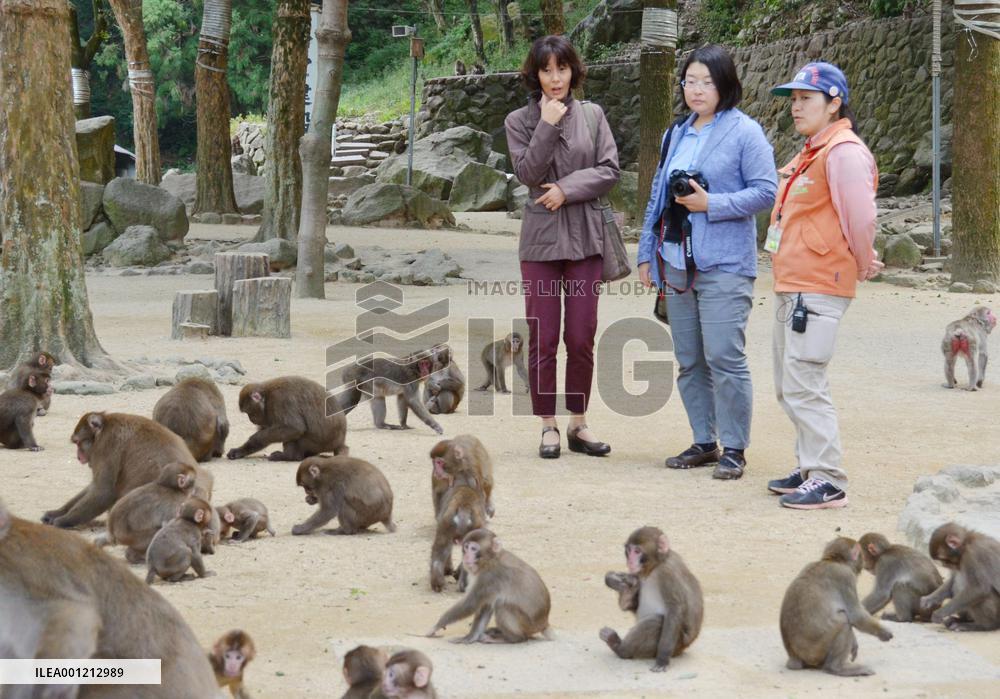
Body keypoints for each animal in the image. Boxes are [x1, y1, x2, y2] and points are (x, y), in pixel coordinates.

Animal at [42, 412, 203, 528]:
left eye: (78, 442)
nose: (78, 457)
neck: (105, 426)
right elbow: (93, 487)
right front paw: (56, 513)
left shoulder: (106, 446)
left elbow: (104, 491)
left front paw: (64, 520)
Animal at [598, 527, 703, 671]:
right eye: (629, 550)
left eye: (637, 551)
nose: (630, 561)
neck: (653, 567)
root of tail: (682, 649)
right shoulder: (638, 574)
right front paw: (623, 588)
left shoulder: (667, 573)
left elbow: (675, 609)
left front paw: (662, 659)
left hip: (676, 644)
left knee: (656, 621)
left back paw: (619, 648)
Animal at [780, 537, 894, 676]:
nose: (863, 564)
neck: (831, 560)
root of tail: (794, 656)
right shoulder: (846, 577)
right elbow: (856, 615)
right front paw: (883, 633)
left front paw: (854, 643)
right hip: (816, 650)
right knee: (843, 620)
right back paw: (836, 667)